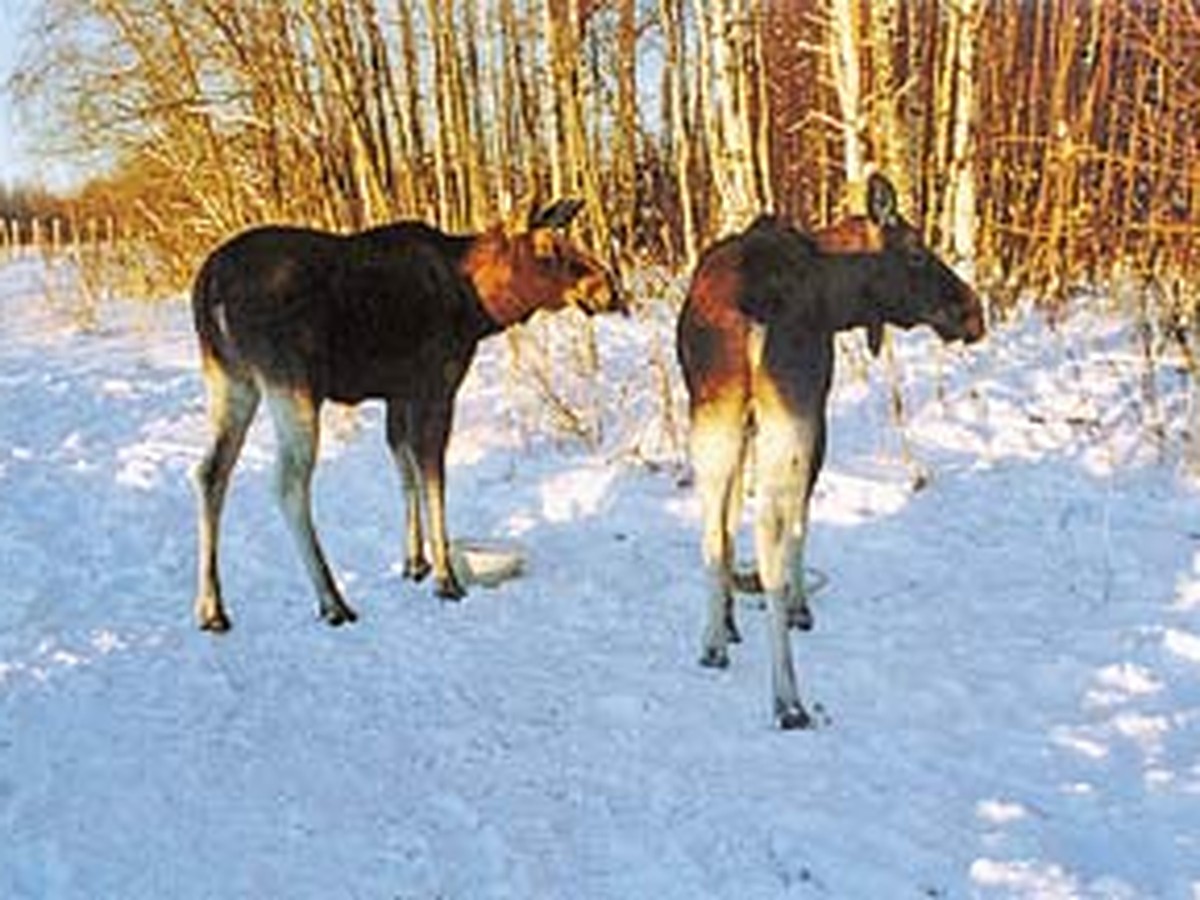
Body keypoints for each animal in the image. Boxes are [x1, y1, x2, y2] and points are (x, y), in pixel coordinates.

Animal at [190, 200, 624, 628]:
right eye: (549, 248)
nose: (610, 286)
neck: (479, 308)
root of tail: (208, 285)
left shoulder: (398, 394)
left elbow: (406, 472)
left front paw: (415, 562)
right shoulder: (435, 387)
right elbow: (432, 476)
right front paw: (446, 578)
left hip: (231, 378)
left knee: (211, 472)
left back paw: (211, 608)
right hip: (291, 384)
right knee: (289, 484)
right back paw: (332, 600)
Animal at [676, 176, 984, 734]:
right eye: (916, 252)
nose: (973, 311)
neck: (839, 298)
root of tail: (750, 313)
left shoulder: (743, 424)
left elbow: (728, 523)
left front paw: (726, 625)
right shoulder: (815, 416)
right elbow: (802, 521)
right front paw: (801, 610)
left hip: (714, 413)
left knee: (712, 525)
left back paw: (711, 646)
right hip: (788, 420)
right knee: (772, 535)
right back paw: (788, 698)